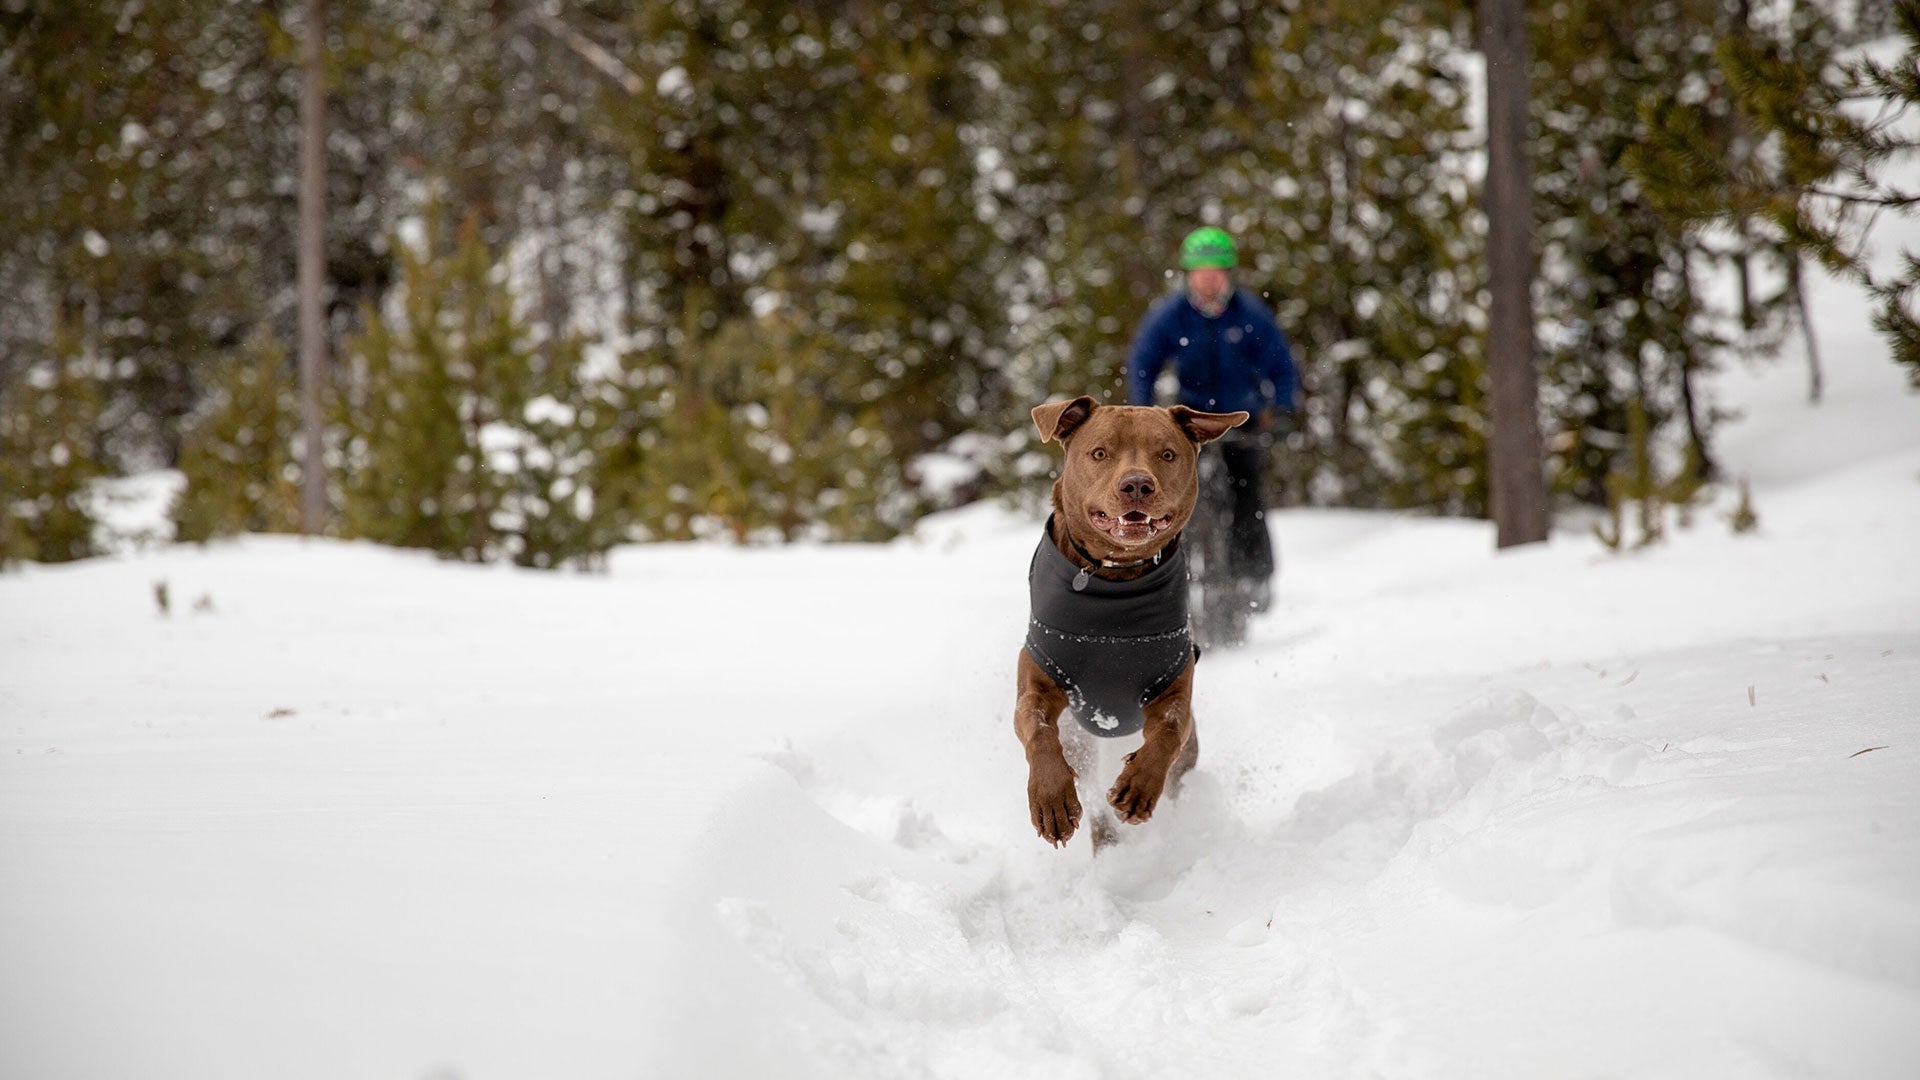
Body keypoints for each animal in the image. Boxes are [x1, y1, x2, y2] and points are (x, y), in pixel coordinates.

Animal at [1021, 390, 1244, 845]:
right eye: (1100, 453)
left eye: (1167, 454)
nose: (1137, 484)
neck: (1114, 579)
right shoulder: (1039, 676)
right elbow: (1036, 725)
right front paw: (1051, 799)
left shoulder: (1173, 685)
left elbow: (1169, 728)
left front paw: (1139, 786)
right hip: (1083, 745)